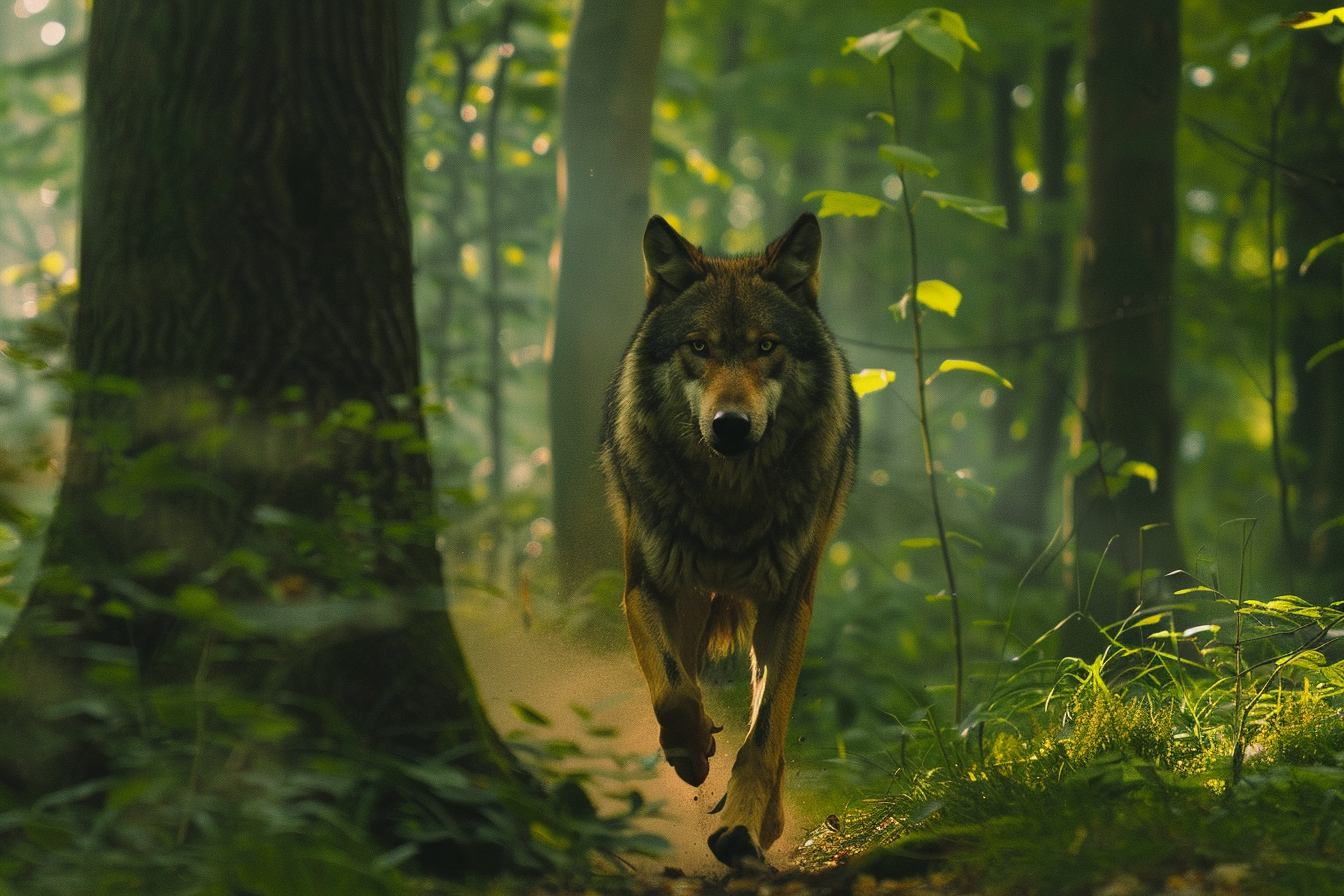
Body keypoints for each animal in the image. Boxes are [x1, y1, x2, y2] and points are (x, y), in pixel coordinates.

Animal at [599, 212, 859, 867]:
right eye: (699, 347)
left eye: (767, 347)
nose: (732, 426)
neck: (729, 507)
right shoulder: (644, 588)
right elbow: (674, 693)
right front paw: (691, 753)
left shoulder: (788, 607)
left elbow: (763, 738)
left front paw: (743, 829)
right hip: (691, 603)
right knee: (684, 677)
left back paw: (765, 824)